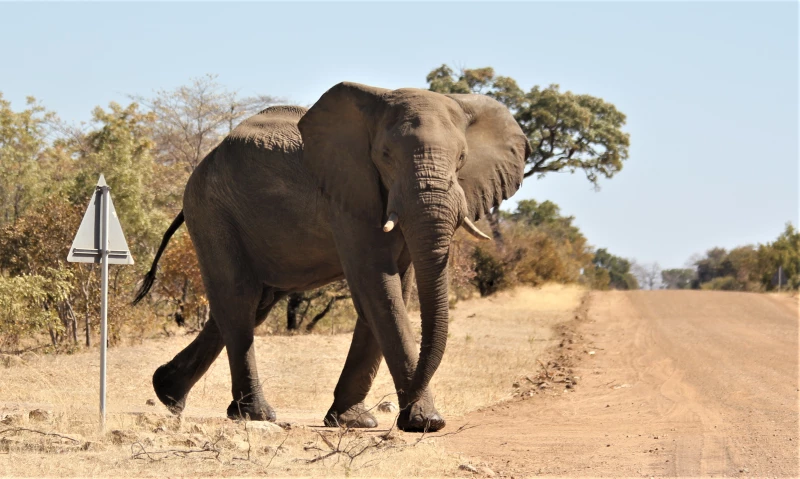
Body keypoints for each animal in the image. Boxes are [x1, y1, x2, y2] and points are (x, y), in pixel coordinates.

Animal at [133, 82, 530, 432]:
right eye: (385, 157)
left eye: (462, 158)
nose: (404, 408)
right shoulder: (350, 197)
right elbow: (378, 288)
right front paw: (424, 423)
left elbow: (395, 291)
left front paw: (354, 422)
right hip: (212, 210)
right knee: (238, 297)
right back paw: (256, 415)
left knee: (252, 304)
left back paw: (168, 394)